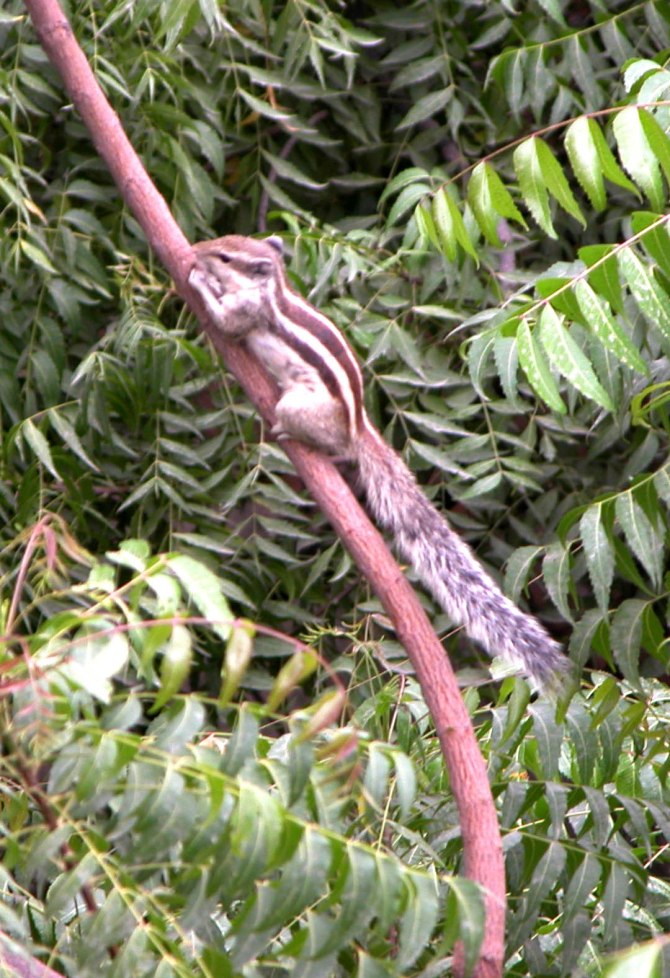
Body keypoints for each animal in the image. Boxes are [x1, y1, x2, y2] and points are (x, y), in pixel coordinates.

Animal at [188, 234, 568, 687]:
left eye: (226, 256)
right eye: (219, 244)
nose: (196, 250)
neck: (274, 289)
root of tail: (359, 427)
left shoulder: (247, 312)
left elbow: (226, 322)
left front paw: (199, 281)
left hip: (299, 408)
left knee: (331, 443)